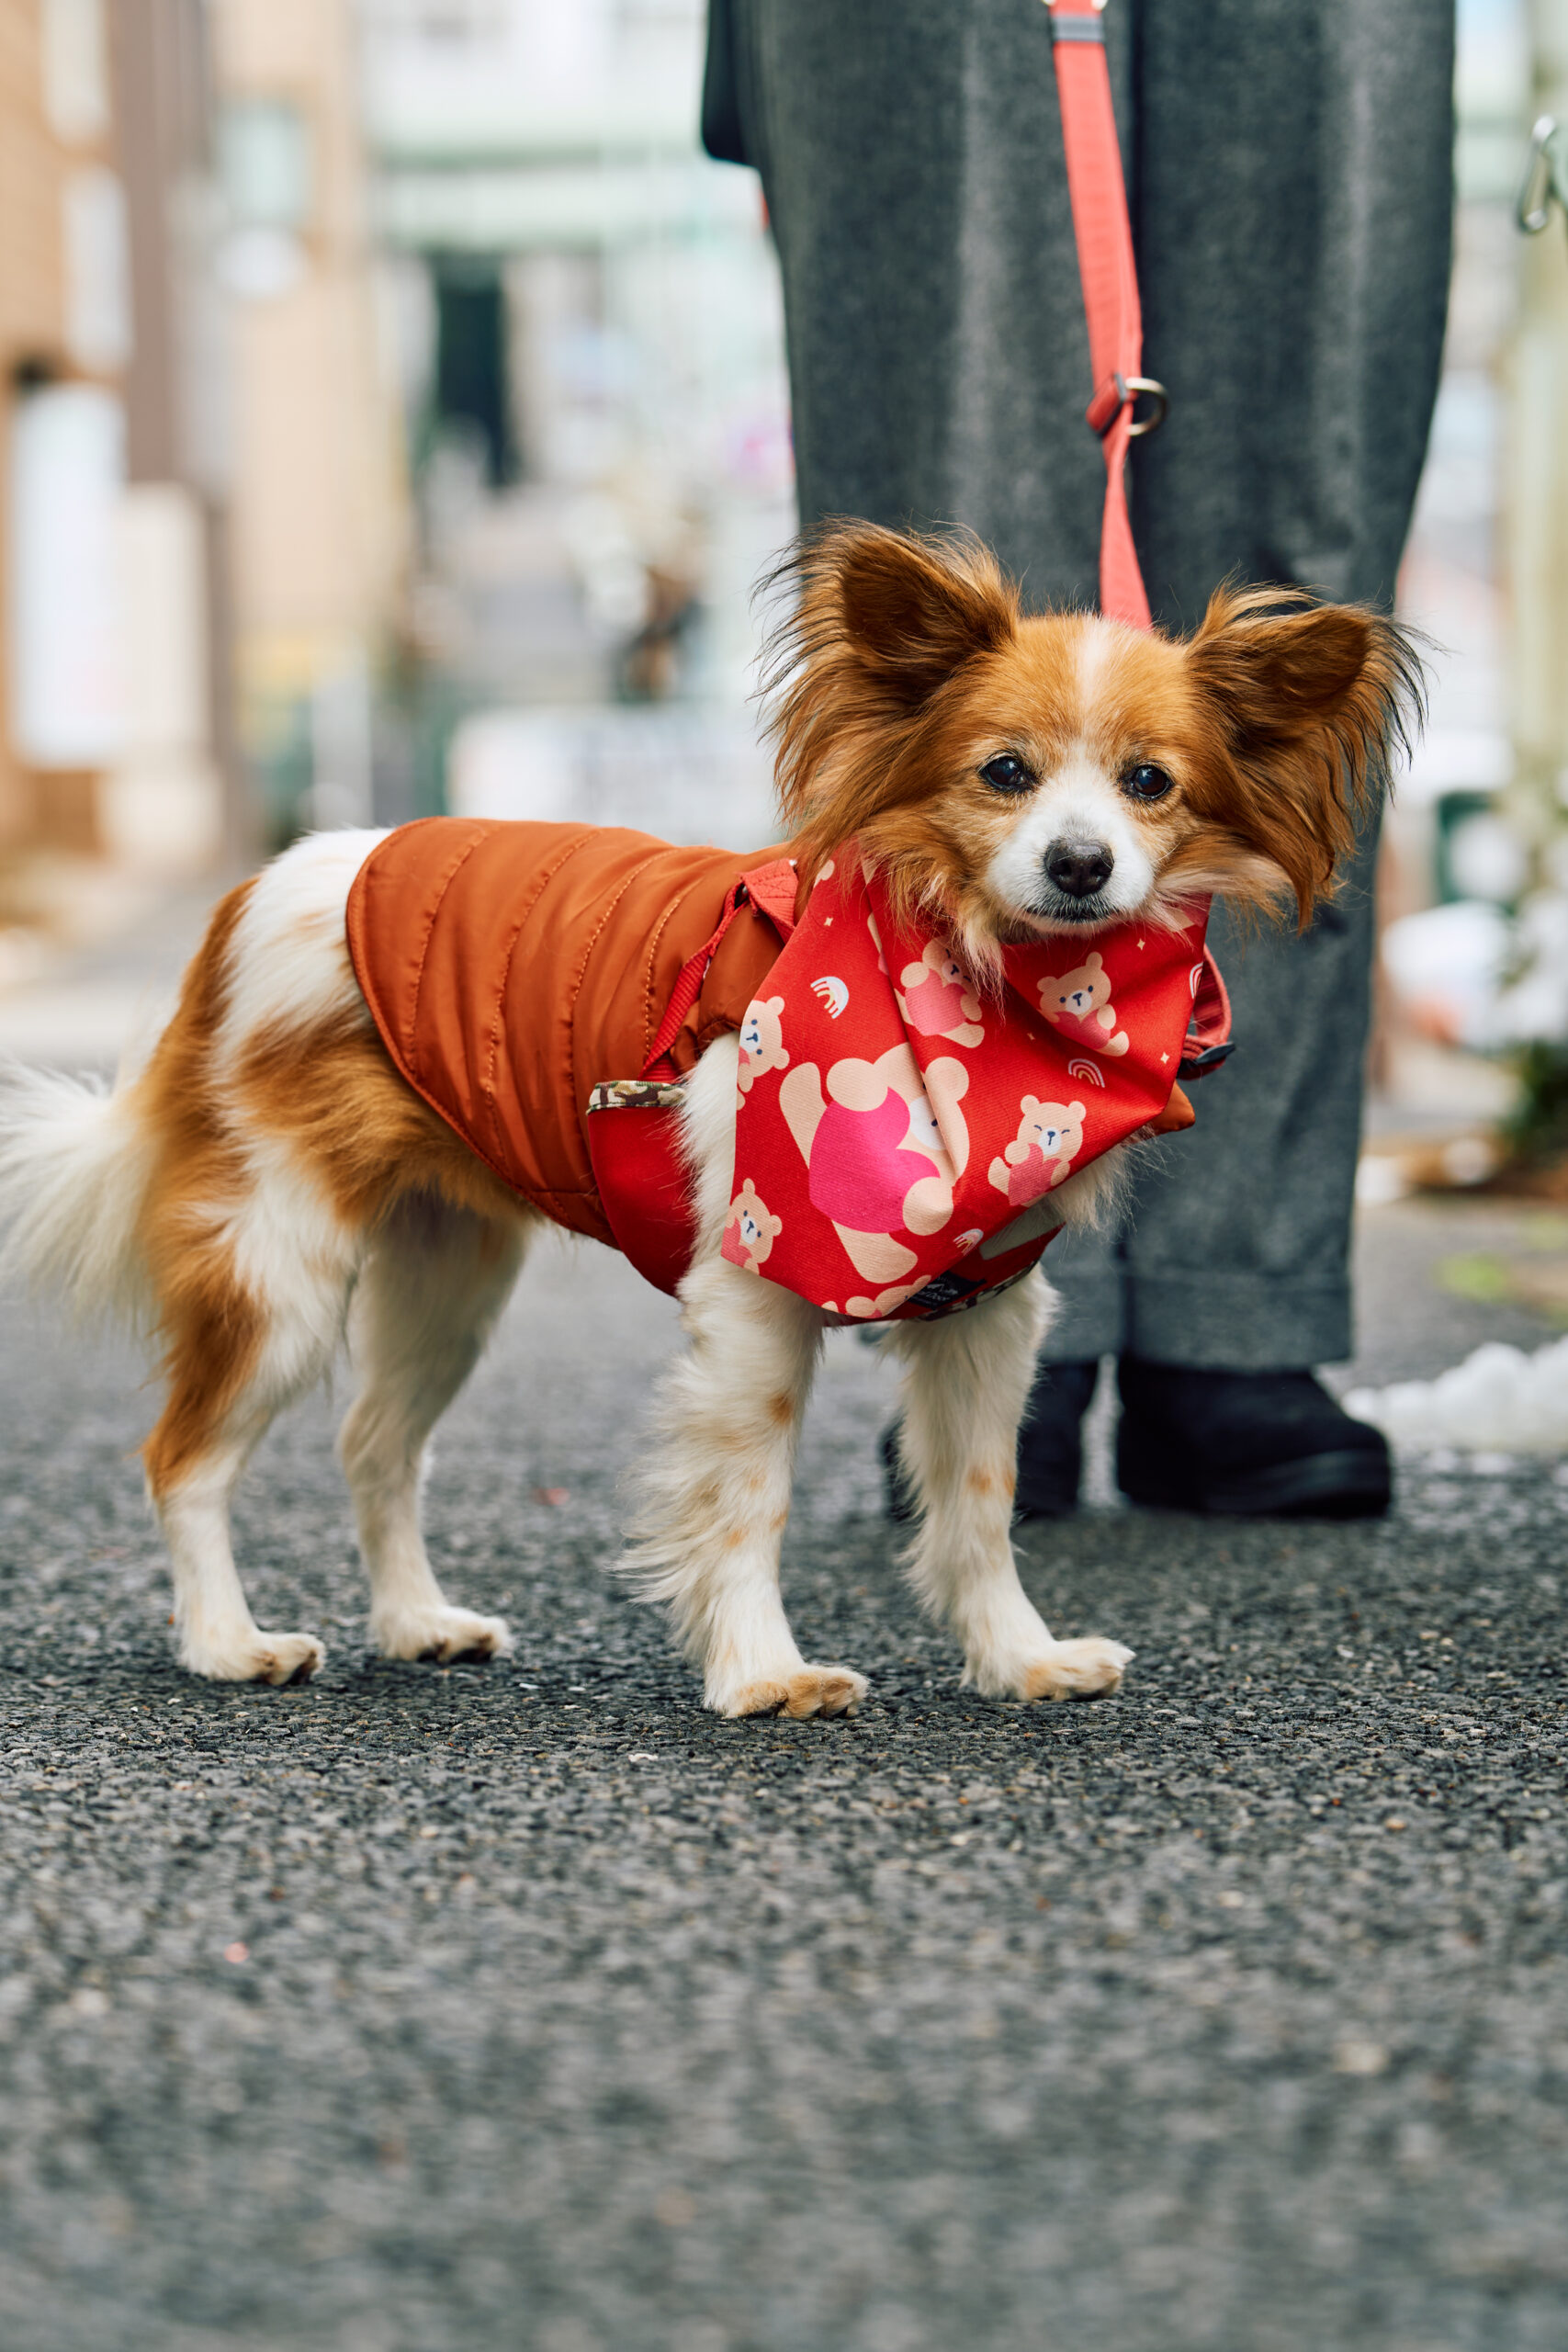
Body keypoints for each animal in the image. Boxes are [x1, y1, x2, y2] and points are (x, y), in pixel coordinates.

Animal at [0, 525, 1419, 1715]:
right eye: (1004, 775)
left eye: (1148, 785)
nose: (1081, 863)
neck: (985, 1005)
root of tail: (252, 896)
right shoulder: (756, 1287)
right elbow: (749, 1498)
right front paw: (762, 1675)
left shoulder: (987, 1309)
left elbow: (979, 1503)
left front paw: (1017, 1659)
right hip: (280, 1270)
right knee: (182, 1459)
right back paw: (226, 1643)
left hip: (449, 1278)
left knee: (373, 1444)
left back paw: (415, 1625)